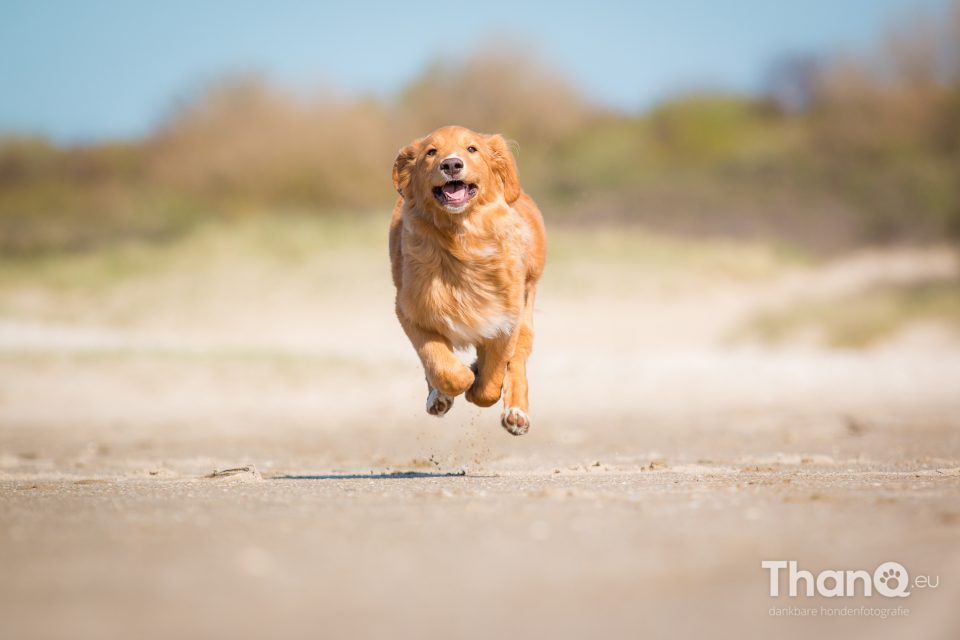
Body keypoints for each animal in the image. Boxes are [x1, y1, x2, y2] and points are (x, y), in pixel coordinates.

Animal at [386, 125, 544, 436]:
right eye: (431, 152)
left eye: (472, 149)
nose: (451, 164)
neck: (461, 239)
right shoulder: (412, 310)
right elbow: (441, 365)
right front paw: (456, 384)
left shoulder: (506, 319)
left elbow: (492, 381)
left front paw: (479, 382)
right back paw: (441, 395)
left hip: (526, 312)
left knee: (517, 362)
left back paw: (516, 413)